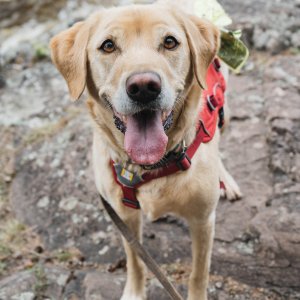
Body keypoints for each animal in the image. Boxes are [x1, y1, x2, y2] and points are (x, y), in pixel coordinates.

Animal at [49, 1, 241, 298]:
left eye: (170, 42)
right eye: (108, 45)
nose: (143, 87)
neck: (151, 165)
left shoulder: (203, 220)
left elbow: (199, 273)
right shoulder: (124, 216)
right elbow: (136, 261)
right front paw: (134, 292)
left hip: (224, 110)